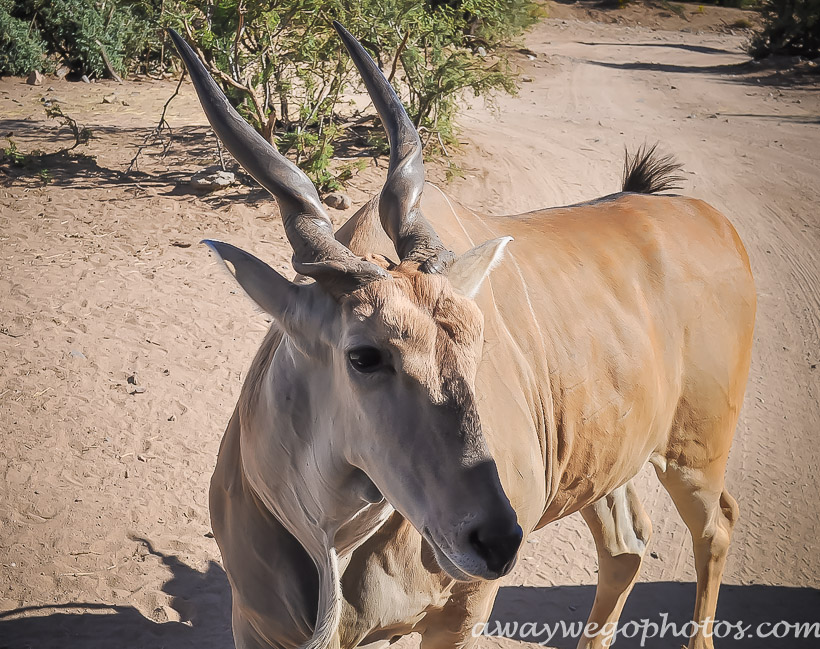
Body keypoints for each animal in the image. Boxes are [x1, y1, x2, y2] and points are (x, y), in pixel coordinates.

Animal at [167, 22, 756, 648]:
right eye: (364, 356)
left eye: (477, 343)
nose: (496, 540)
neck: (326, 541)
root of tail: (713, 220)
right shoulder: (254, 624)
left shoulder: (463, 610)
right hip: (607, 461)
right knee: (627, 546)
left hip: (695, 453)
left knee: (718, 525)